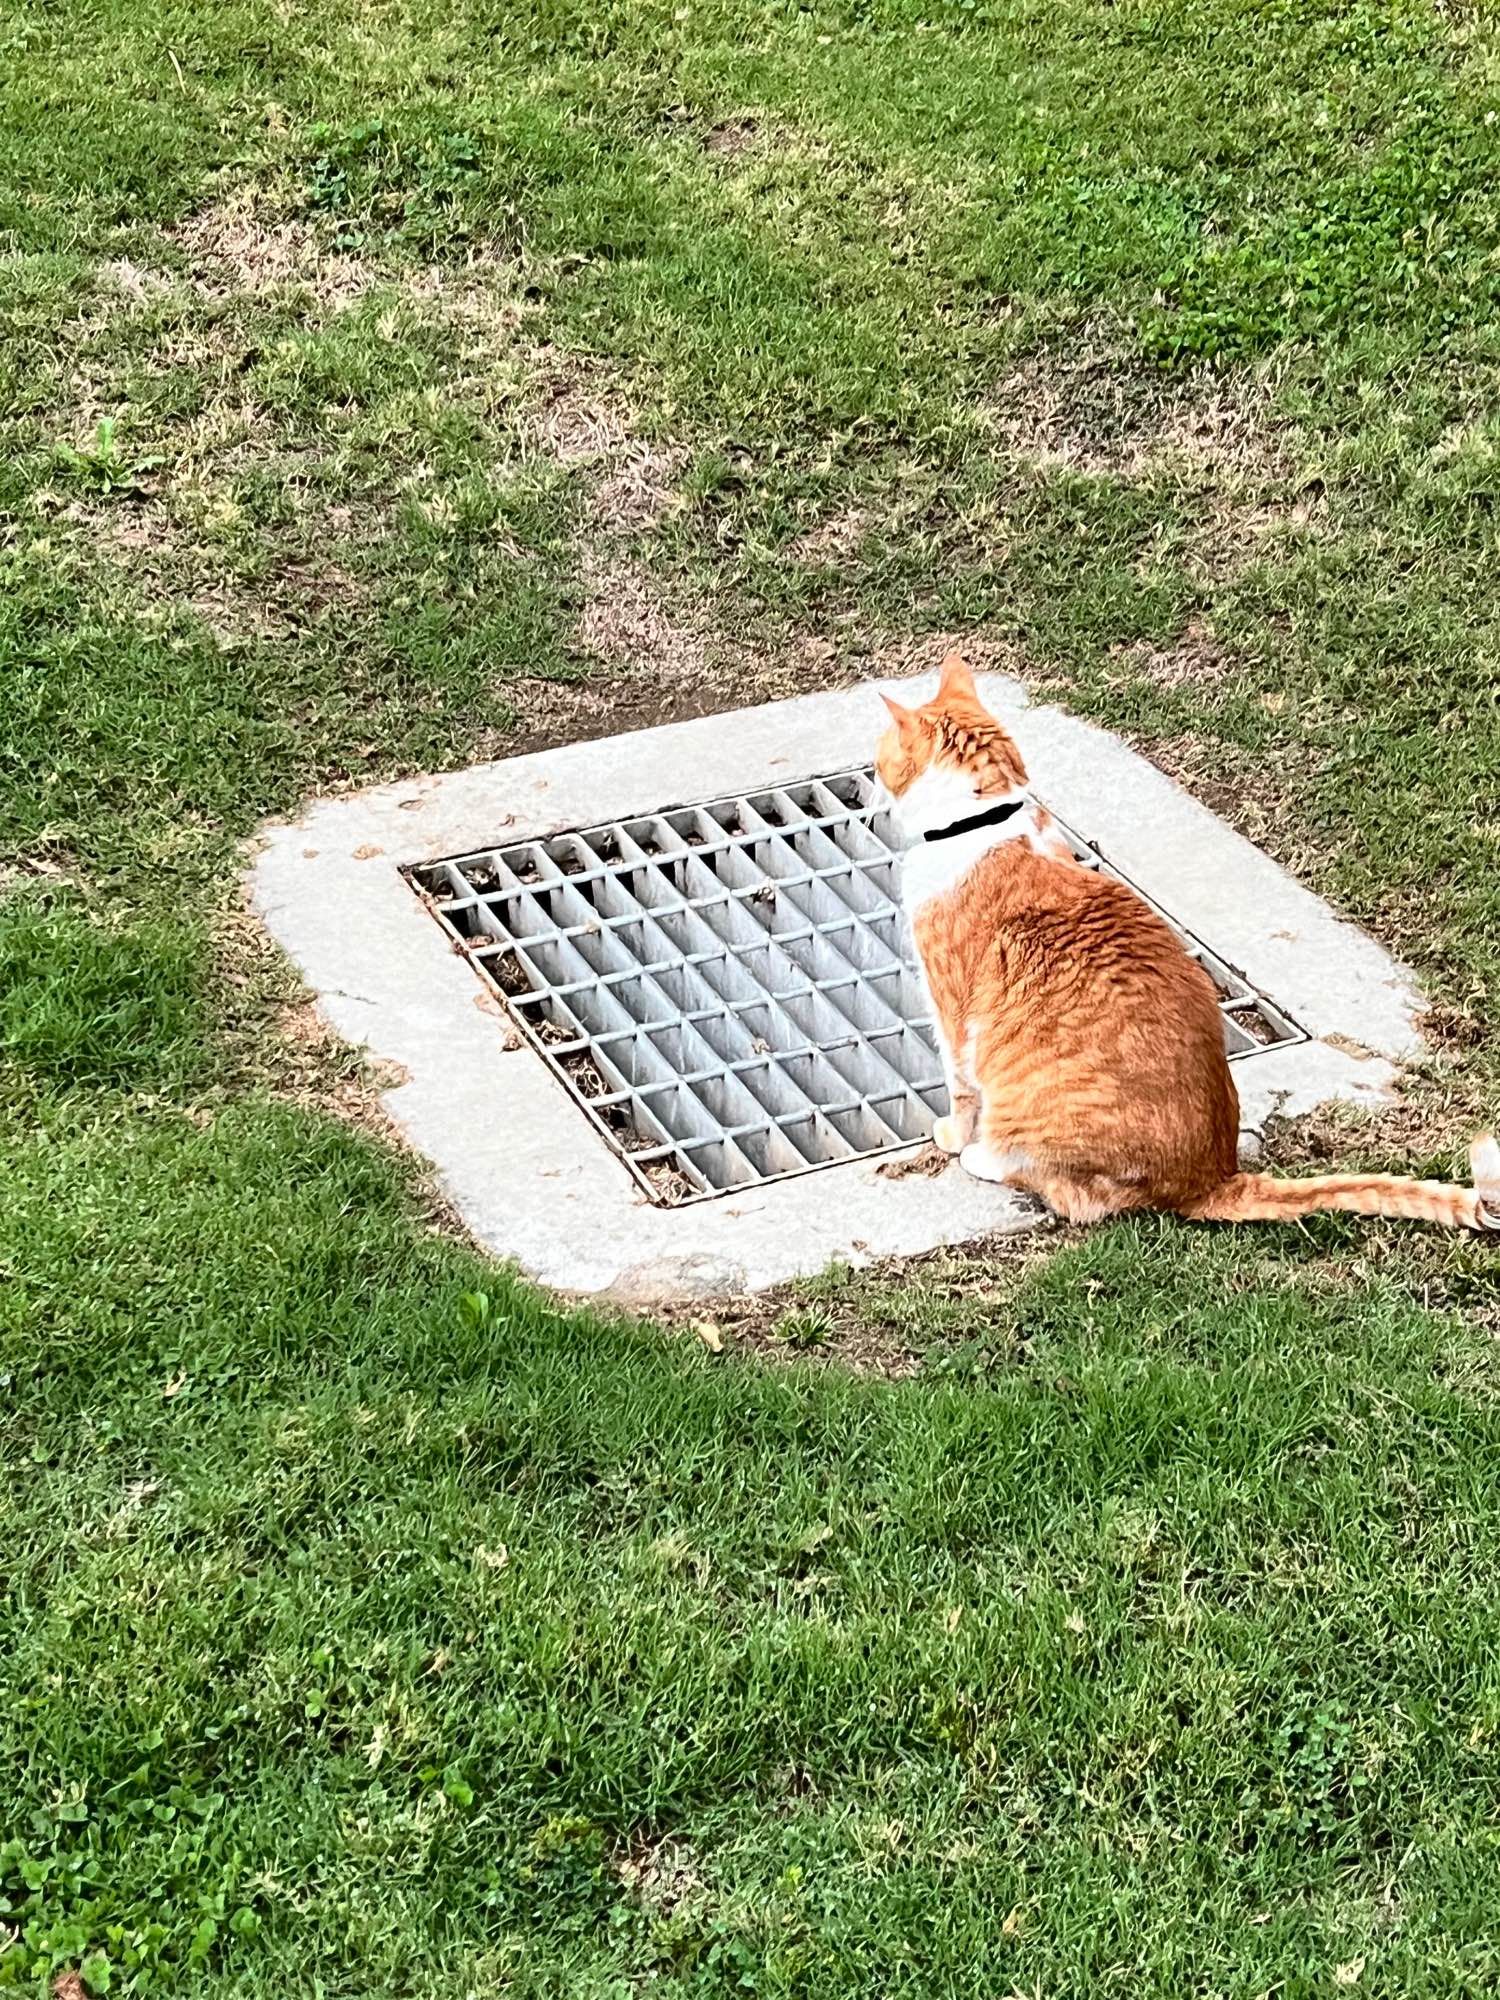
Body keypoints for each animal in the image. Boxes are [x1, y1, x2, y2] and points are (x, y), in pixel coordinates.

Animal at [880, 656, 1500, 1224]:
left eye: (882, 749)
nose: (874, 764)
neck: (985, 822)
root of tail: (1213, 1176)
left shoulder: (952, 1012)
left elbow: (960, 1089)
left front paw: (952, 1135)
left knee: (1074, 1193)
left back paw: (985, 1157)